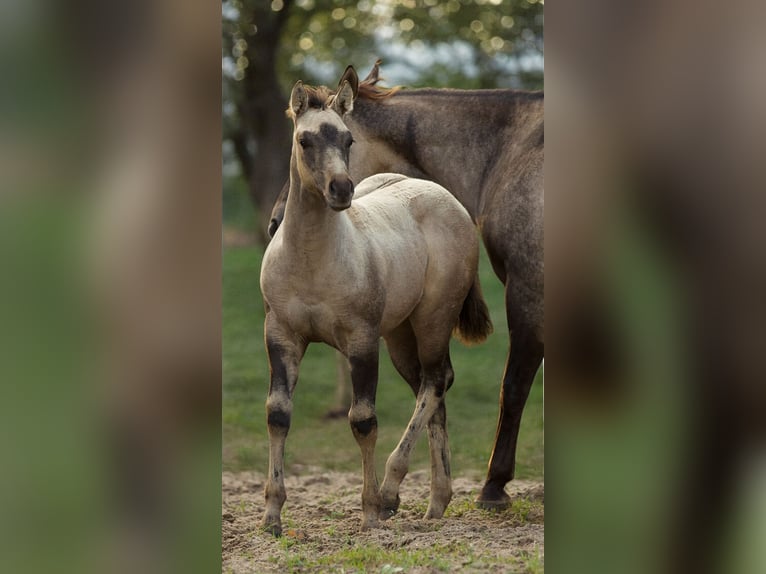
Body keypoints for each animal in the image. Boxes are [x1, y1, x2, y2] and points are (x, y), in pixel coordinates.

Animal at [270, 64, 544, 512]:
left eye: (349, 140)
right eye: (301, 140)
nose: (275, 221)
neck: (509, 150)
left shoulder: (527, 289)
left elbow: (514, 386)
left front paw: (494, 485)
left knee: (437, 383)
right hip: (402, 332)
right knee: (430, 387)